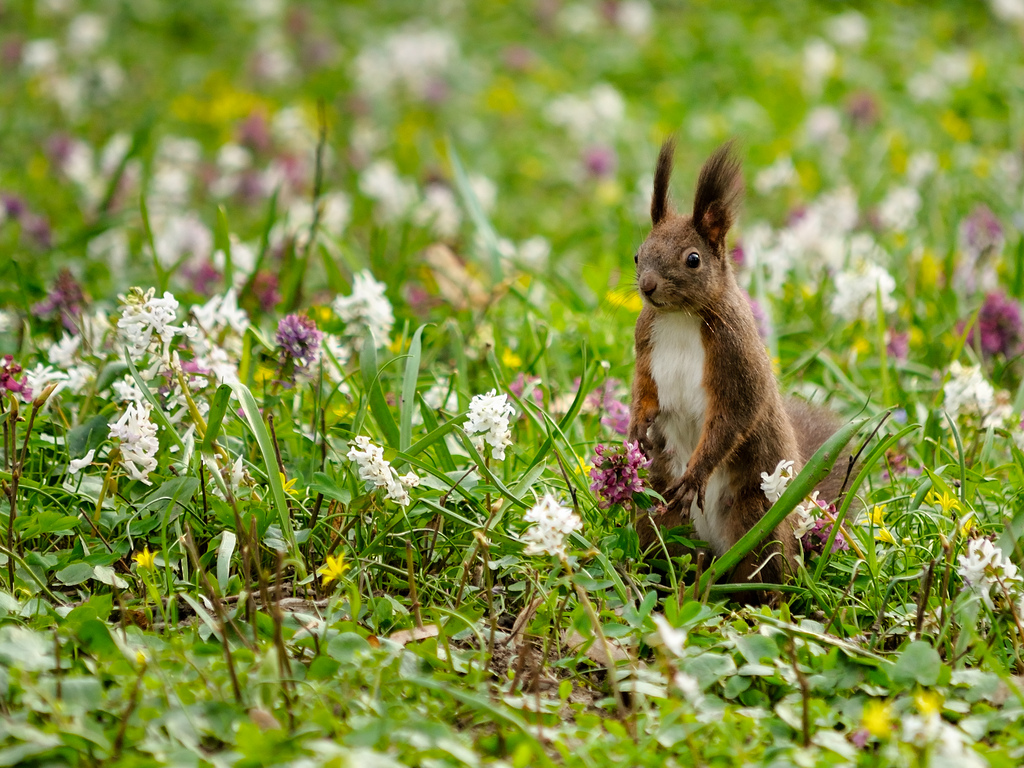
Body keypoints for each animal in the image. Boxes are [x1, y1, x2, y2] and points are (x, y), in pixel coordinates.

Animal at [626, 140, 843, 589]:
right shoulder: (646, 343)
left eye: (693, 259)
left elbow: (733, 417)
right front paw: (637, 426)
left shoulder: (737, 358)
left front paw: (696, 474)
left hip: (754, 519)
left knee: (763, 569)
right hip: (658, 512)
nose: (648, 287)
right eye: (638, 255)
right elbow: (645, 389)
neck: (680, 317)